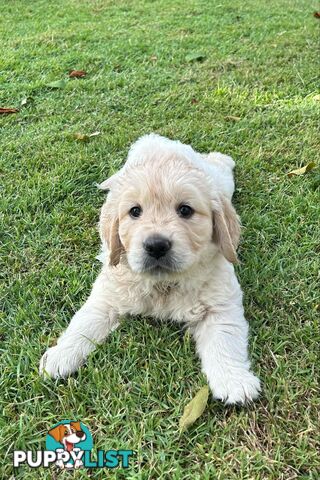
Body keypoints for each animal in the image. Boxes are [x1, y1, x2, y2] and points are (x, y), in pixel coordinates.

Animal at [39, 133, 260, 404]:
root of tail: (157, 140)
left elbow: (225, 339)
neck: (163, 283)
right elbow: (84, 323)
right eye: (135, 211)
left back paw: (223, 158)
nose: (156, 245)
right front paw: (60, 356)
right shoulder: (107, 294)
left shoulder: (220, 302)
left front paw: (234, 380)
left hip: (221, 180)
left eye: (185, 210)